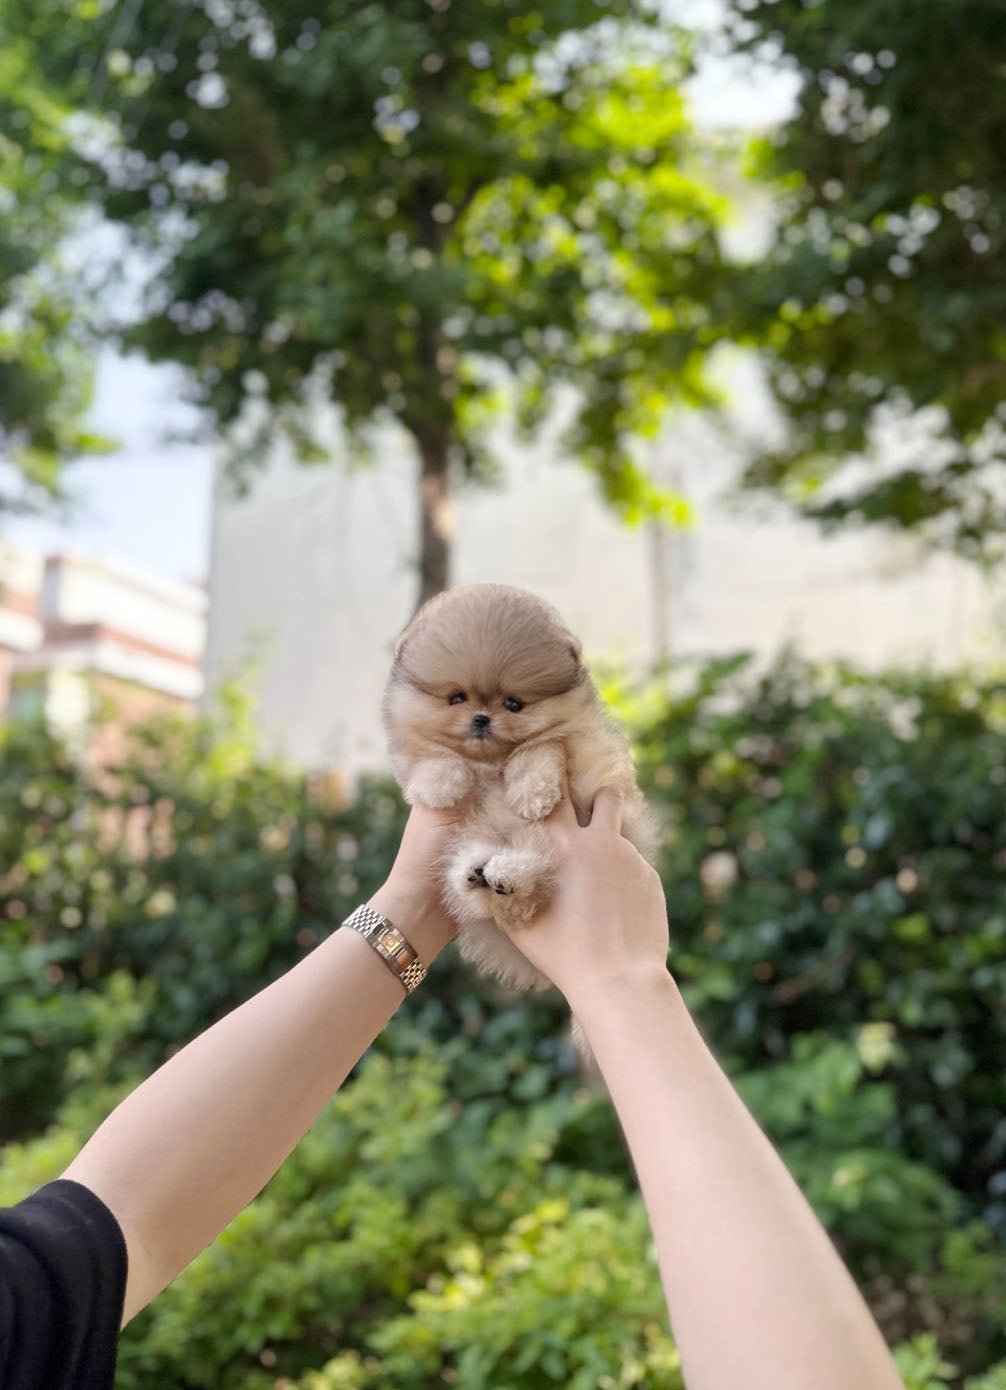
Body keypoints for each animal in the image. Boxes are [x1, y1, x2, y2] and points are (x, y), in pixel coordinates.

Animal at [380, 581, 655, 995]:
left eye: (513, 704)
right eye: (456, 698)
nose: (481, 719)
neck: (491, 764)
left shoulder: (573, 741)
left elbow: (539, 750)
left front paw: (532, 795)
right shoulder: (414, 747)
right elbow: (433, 756)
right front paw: (440, 784)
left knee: (533, 889)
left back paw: (507, 878)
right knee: (477, 887)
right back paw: (477, 874)